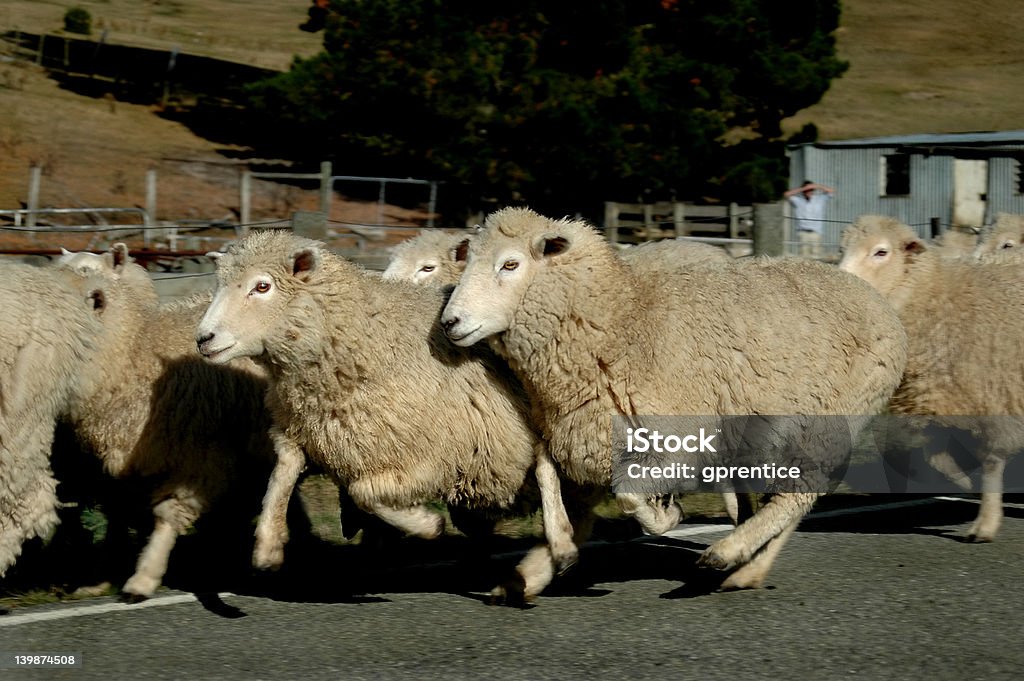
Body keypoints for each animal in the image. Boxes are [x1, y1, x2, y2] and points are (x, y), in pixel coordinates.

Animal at [440, 205, 905, 589]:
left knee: (799, 495)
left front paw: (667, 515)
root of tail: (871, 296)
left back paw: (731, 556)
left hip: (831, 423)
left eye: (510, 264)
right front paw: (561, 549)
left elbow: (628, 494)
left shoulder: (676, 441)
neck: (622, 319)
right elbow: (544, 473)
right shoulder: (572, 428)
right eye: (469, 260)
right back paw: (745, 557)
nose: (450, 322)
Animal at [839, 215, 1024, 540]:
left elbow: (991, 462)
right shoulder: (939, 403)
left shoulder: (997, 398)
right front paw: (965, 484)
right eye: (843, 248)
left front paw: (985, 524)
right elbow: (936, 459)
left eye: (881, 252)